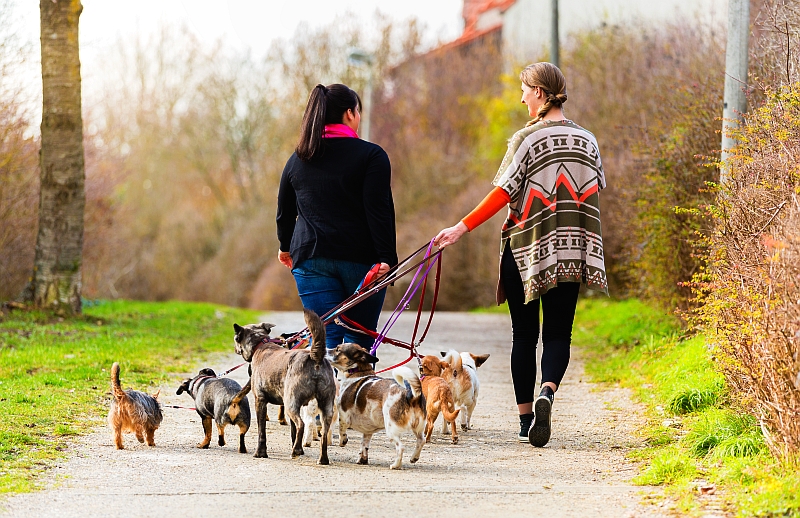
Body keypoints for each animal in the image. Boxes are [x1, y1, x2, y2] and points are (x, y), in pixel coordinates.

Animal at [228, 310, 338, 466]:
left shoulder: (260, 401)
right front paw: (298, 448)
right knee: (323, 431)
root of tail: (315, 357)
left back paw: (296, 451)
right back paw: (321, 458)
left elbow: (262, 431)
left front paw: (260, 453)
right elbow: (292, 431)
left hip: (291, 403)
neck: (260, 344)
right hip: (325, 405)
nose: (234, 348)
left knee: (301, 424)